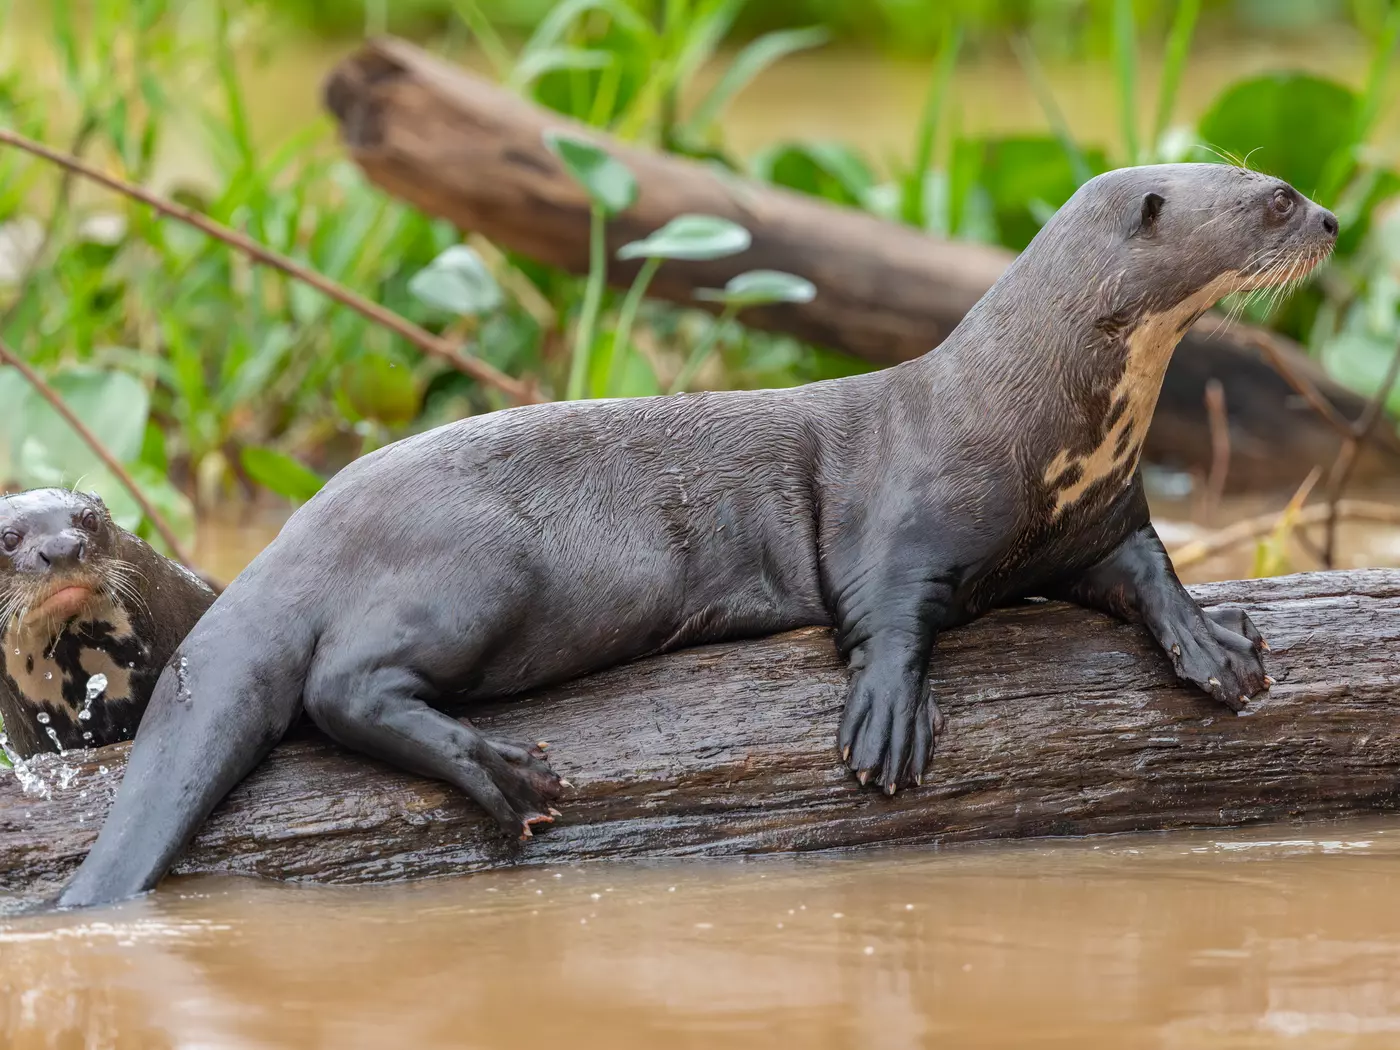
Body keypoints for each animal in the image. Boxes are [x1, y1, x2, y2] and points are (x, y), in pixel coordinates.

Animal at [59, 163, 1336, 908]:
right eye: (1271, 195)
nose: (1329, 217)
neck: (1040, 415)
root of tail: (303, 529)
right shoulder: (899, 513)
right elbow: (886, 610)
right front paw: (884, 719)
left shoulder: (1094, 514)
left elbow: (1145, 568)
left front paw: (1216, 648)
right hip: (486, 566)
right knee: (340, 687)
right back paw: (506, 776)